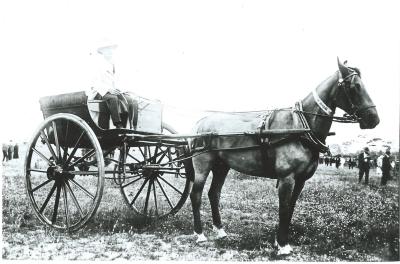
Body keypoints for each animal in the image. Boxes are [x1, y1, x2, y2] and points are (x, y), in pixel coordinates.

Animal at [189, 58, 380, 256]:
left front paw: (279, 240)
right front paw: (282, 245)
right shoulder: (286, 178)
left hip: (222, 166)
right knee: (196, 194)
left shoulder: (300, 180)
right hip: (203, 165)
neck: (300, 127)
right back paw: (199, 233)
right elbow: (283, 208)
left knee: (214, 193)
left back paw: (220, 230)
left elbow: (290, 209)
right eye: (355, 86)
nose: (374, 119)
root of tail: (200, 123)